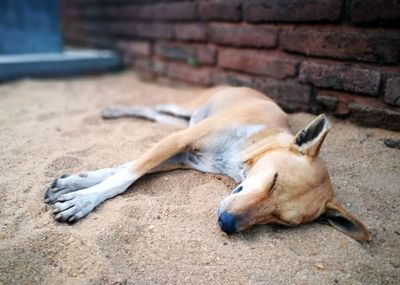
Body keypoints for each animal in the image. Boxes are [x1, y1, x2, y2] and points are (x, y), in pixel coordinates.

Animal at [43, 86, 368, 240]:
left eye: (282, 222)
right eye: (273, 180)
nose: (227, 224)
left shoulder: (182, 156)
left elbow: (124, 169)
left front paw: (73, 185)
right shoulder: (179, 140)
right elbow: (125, 176)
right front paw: (82, 200)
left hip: (177, 121)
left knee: (153, 114)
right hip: (183, 111)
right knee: (154, 106)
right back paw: (113, 110)